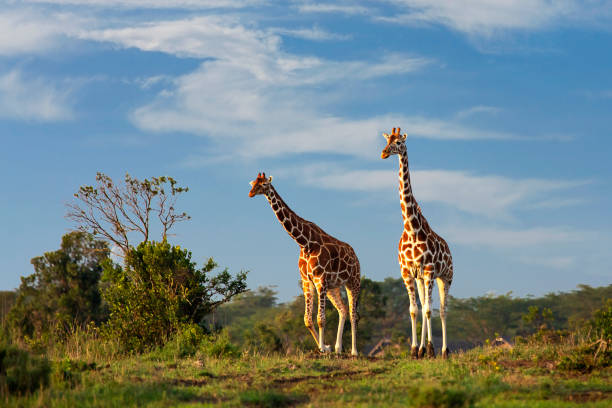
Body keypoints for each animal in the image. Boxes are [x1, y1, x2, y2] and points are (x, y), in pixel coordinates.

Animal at [249, 174, 360, 356]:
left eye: (264, 184)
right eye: (253, 183)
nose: (251, 193)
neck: (305, 243)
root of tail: (355, 256)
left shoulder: (320, 280)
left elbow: (321, 319)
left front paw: (322, 349)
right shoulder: (307, 281)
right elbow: (307, 319)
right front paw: (325, 347)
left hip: (353, 281)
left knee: (353, 315)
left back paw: (354, 351)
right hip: (334, 287)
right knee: (343, 310)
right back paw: (338, 349)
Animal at [380, 129, 452, 358]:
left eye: (399, 142)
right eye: (387, 140)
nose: (384, 153)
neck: (411, 228)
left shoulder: (429, 271)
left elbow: (429, 310)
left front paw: (430, 350)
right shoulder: (407, 272)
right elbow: (414, 310)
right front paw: (414, 350)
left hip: (445, 277)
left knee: (443, 309)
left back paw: (444, 351)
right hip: (422, 279)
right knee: (424, 305)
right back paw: (422, 349)